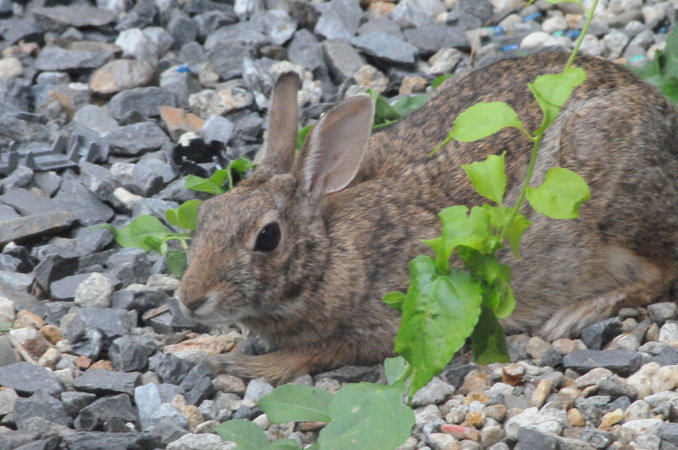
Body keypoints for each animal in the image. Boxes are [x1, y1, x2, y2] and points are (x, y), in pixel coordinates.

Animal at [179, 52, 678, 384]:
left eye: (267, 237)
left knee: (659, 272)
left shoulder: (381, 323)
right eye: (207, 215)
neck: (328, 251)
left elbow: (310, 355)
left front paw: (232, 364)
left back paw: (577, 313)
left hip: (610, 201)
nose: (190, 299)